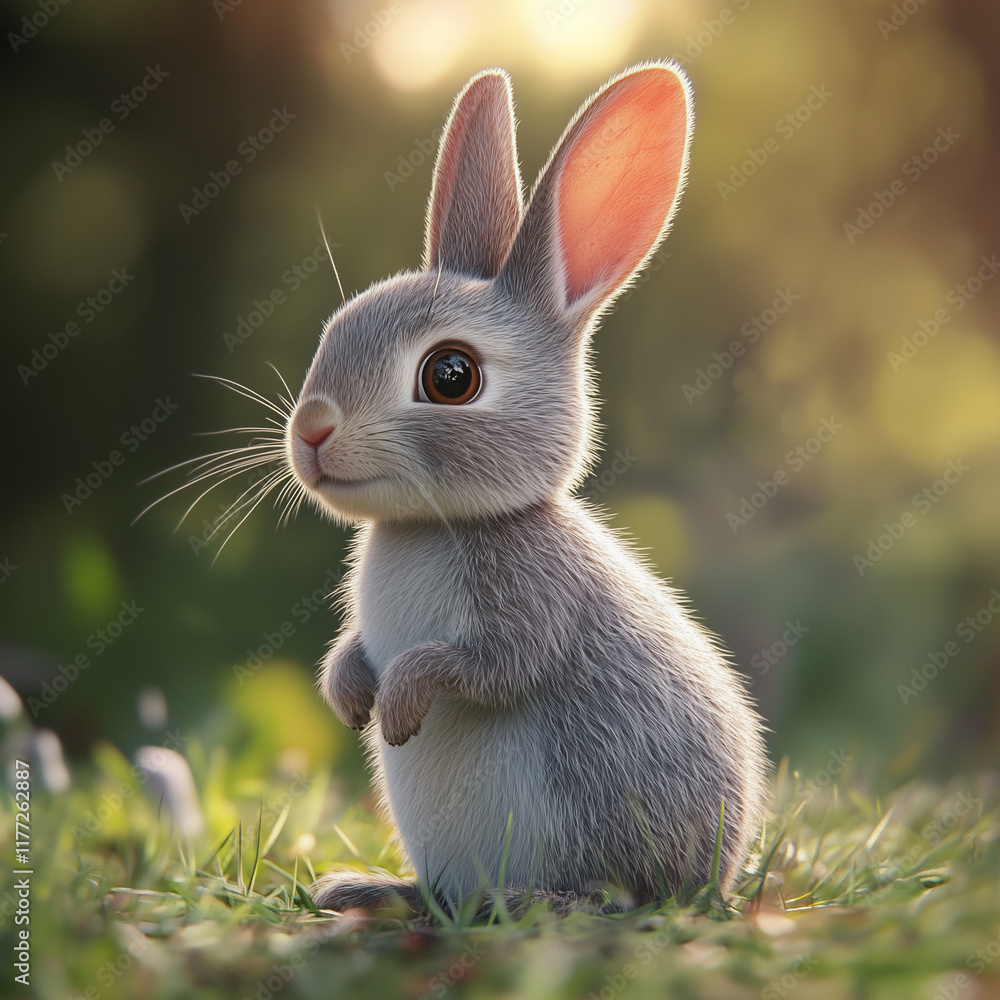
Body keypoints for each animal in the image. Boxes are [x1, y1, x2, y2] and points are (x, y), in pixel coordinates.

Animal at [287, 62, 768, 914]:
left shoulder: (533, 604)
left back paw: (537, 902)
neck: (435, 523)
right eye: (334, 329)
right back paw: (371, 889)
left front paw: (398, 705)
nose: (310, 430)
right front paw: (350, 696)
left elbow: (489, 667)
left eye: (451, 376)